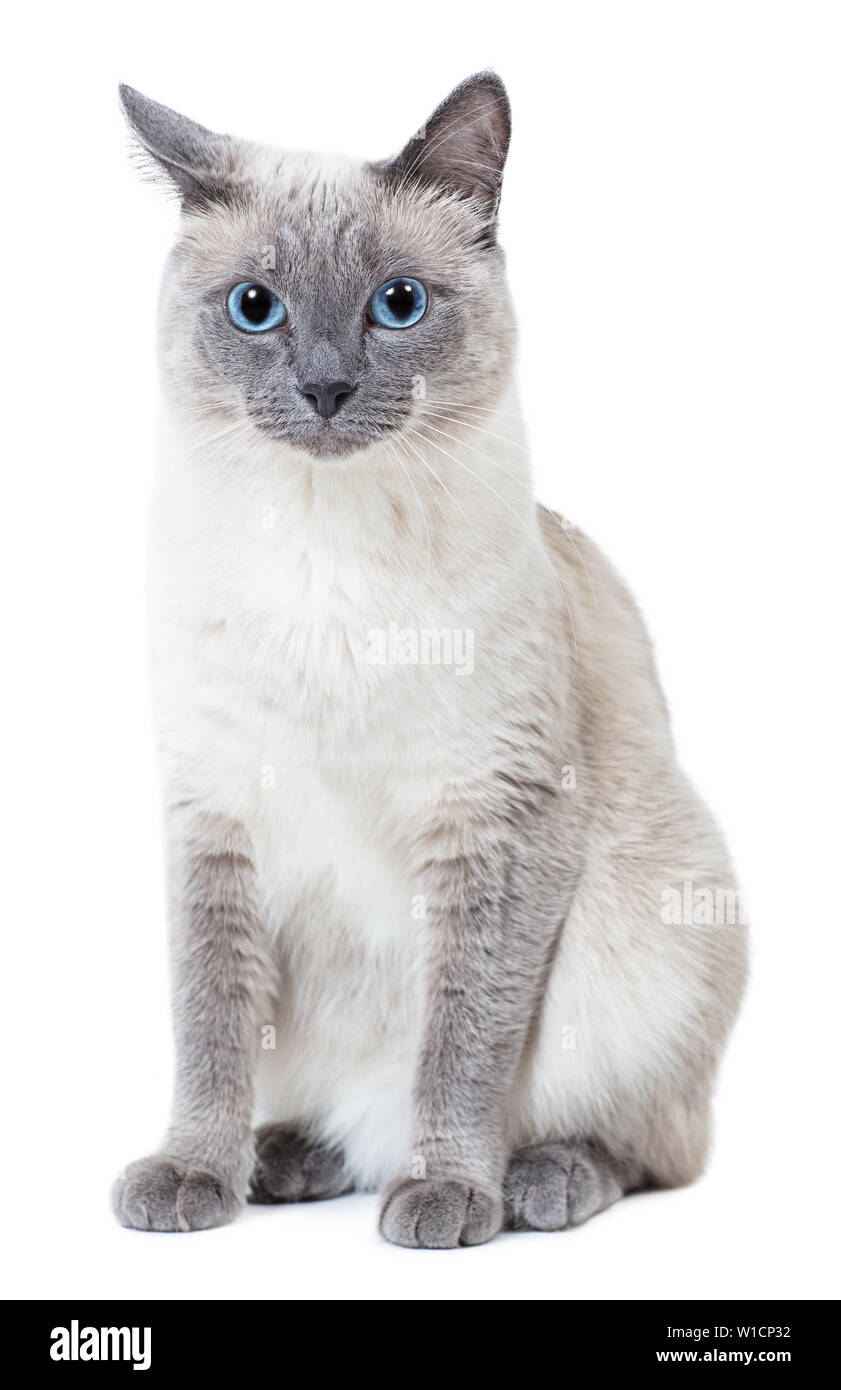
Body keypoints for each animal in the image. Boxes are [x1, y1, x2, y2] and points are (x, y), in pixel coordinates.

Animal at [113, 73, 745, 1251]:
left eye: (397, 304)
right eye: (254, 307)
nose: (324, 387)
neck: (321, 557)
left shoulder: (495, 825)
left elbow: (461, 1045)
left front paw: (448, 1191)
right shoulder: (213, 817)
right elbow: (208, 1025)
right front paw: (192, 1176)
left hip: (652, 932)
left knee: (652, 1146)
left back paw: (529, 1182)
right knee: (341, 1119)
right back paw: (288, 1161)